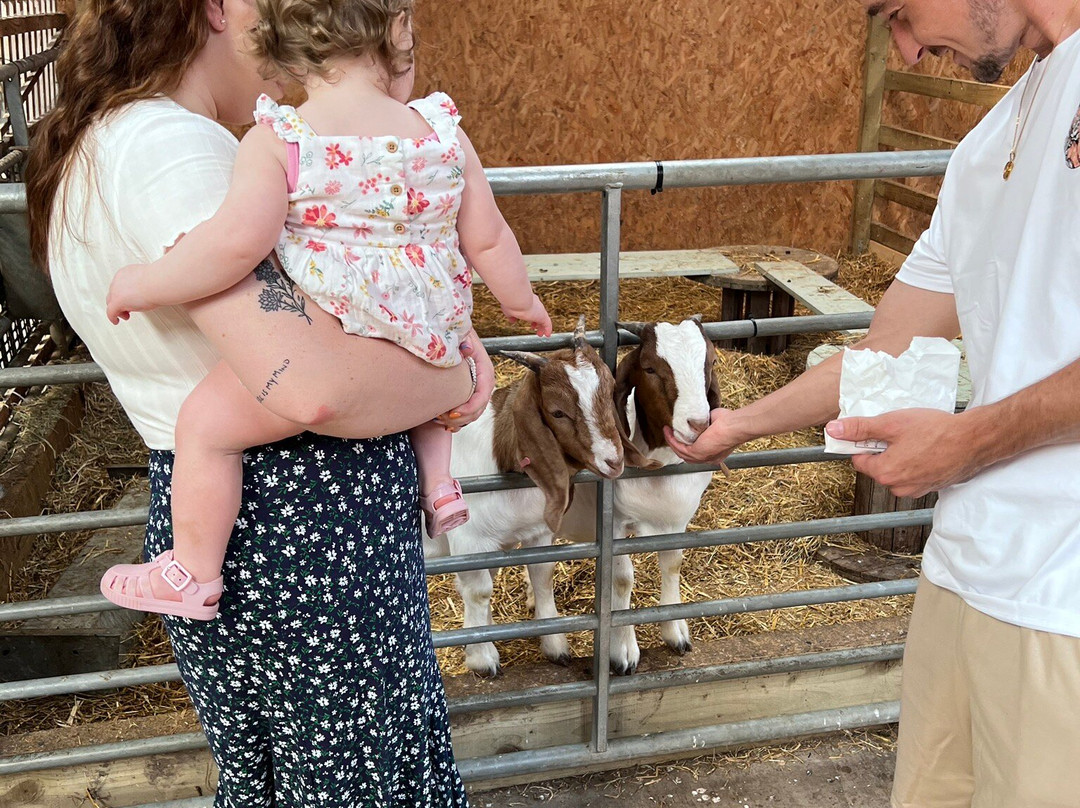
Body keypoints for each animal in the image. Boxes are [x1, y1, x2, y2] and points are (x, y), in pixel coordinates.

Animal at [425, 315, 652, 674]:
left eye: (609, 390)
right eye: (557, 412)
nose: (613, 460)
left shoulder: (534, 534)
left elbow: (542, 576)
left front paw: (555, 646)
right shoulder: (469, 542)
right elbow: (479, 591)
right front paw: (482, 657)